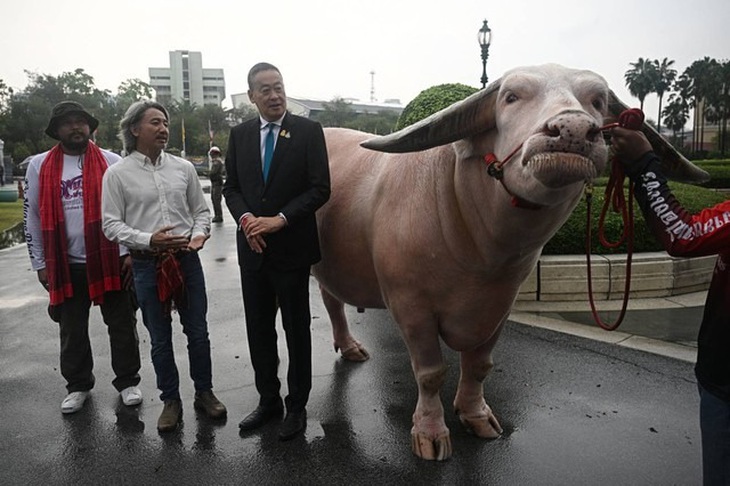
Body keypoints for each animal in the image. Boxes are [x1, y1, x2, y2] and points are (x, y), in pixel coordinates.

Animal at [312, 63, 704, 460]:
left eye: (596, 101)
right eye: (511, 97)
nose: (573, 129)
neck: (479, 250)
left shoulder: (500, 304)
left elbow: (480, 365)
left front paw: (476, 416)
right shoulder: (411, 306)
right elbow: (430, 373)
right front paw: (431, 433)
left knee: (331, 299)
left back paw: (349, 346)